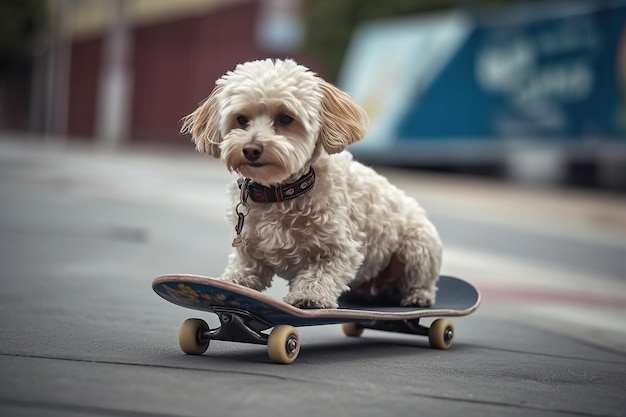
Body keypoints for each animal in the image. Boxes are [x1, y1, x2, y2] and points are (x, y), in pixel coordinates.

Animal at [180, 59, 442, 308]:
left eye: (285, 118)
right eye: (241, 119)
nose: (251, 149)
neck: (282, 191)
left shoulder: (341, 249)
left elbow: (322, 274)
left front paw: (309, 296)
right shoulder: (249, 250)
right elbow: (245, 270)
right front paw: (229, 282)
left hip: (418, 248)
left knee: (422, 283)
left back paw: (418, 296)